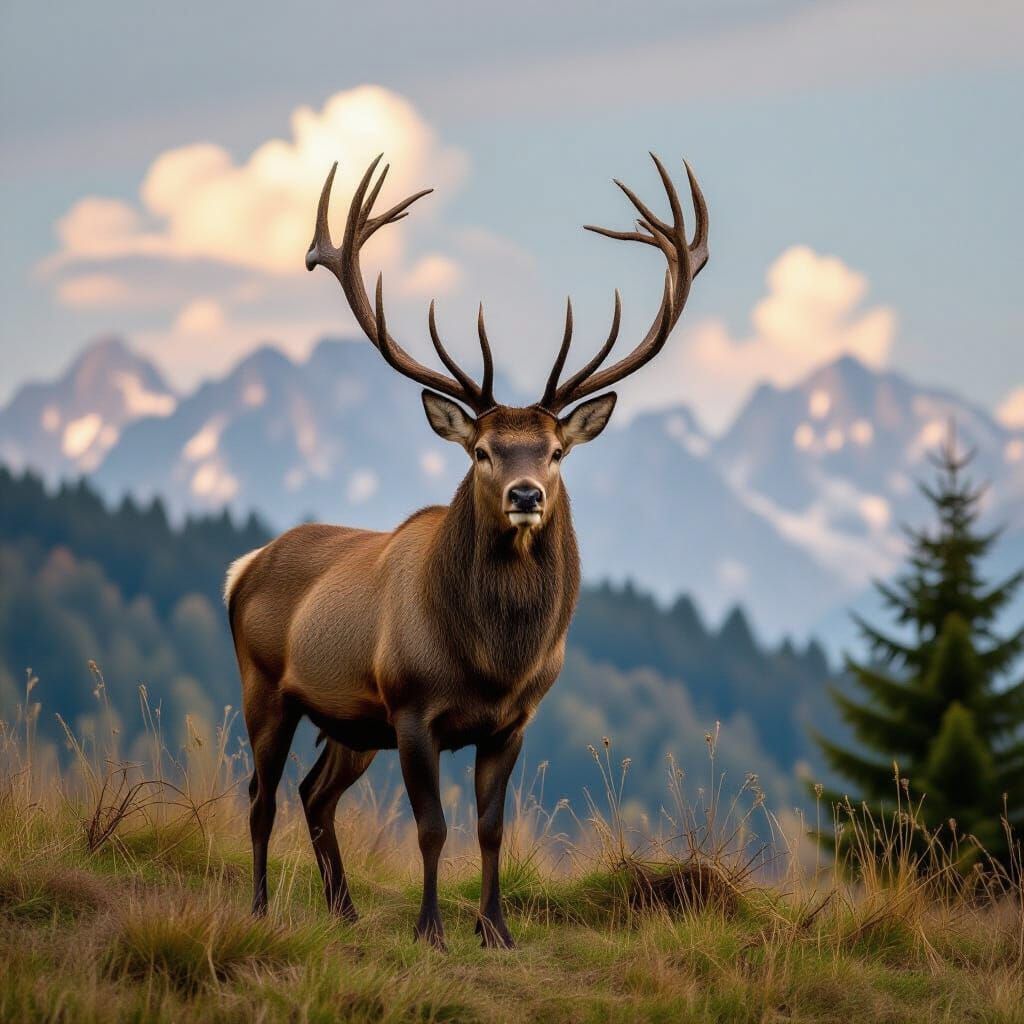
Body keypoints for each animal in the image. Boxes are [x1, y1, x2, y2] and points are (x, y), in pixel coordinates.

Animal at [225, 152, 708, 949]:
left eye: (554, 452)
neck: (492, 661)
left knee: (313, 793)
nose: (526, 494)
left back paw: (345, 910)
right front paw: (431, 930)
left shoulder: (511, 722)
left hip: (352, 721)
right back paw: (260, 907)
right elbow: (432, 828)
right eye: (482, 450)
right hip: (267, 685)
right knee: (262, 795)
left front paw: (497, 930)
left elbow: (490, 830)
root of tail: (244, 566)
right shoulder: (412, 707)